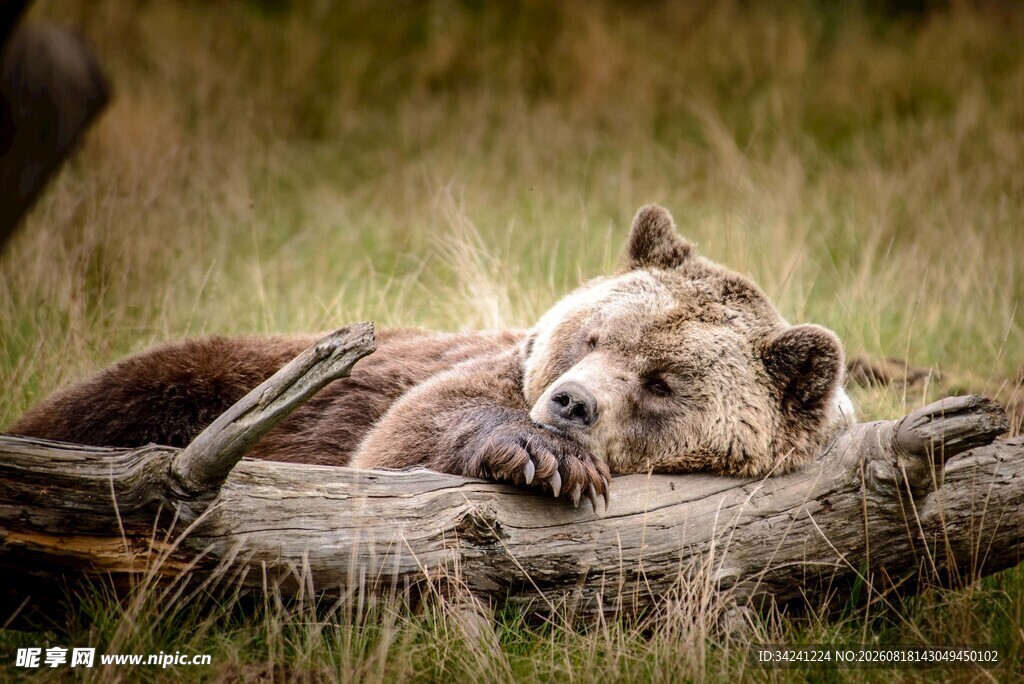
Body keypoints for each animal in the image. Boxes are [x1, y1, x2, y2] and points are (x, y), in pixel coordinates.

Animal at [8, 205, 854, 510]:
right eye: (593, 336)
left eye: (663, 382)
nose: (570, 403)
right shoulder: (470, 373)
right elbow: (408, 431)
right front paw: (542, 457)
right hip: (193, 376)